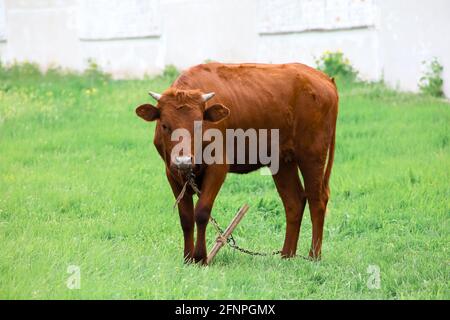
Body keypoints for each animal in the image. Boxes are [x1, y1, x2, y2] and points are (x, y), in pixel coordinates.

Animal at [135, 62, 336, 262]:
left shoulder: (218, 167)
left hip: (312, 154)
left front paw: (201, 258)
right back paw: (287, 255)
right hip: (283, 161)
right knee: (294, 201)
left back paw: (313, 255)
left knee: (317, 199)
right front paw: (188, 258)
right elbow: (186, 218)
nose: (183, 160)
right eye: (165, 126)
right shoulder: (171, 172)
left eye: (199, 125)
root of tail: (323, 78)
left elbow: (201, 212)